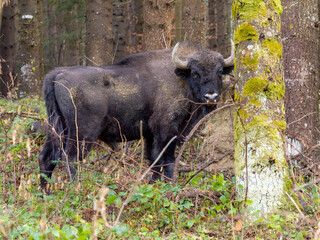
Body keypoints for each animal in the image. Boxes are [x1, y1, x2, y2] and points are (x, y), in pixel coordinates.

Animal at [39, 40, 235, 191]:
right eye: (195, 73)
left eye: (219, 72)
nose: (211, 97)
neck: (180, 77)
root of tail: (57, 74)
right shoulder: (167, 131)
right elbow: (166, 159)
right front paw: (170, 186)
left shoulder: (150, 134)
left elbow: (153, 159)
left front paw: (155, 185)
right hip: (82, 133)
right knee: (70, 158)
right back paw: (76, 188)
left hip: (56, 127)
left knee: (46, 157)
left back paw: (45, 193)